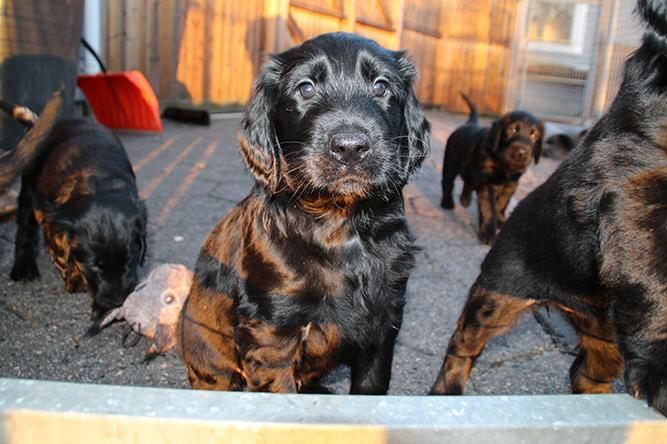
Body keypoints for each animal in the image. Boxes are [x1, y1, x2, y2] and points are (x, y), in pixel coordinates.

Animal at [10, 117, 147, 319]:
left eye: (128, 261)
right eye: (94, 267)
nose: (117, 302)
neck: (97, 181)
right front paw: (74, 280)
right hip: (28, 185)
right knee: (25, 226)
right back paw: (24, 266)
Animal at [178, 32, 430, 393]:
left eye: (381, 87)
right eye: (306, 88)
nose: (351, 147)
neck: (341, 223)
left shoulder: (385, 321)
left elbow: (371, 387)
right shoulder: (272, 332)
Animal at [440, 93, 543, 244]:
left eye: (534, 135)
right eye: (512, 130)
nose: (521, 152)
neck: (504, 163)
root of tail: (469, 124)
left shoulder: (511, 183)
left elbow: (502, 203)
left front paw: (500, 221)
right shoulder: (487, 181)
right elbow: (490, 207)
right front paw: (488, 233)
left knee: (468, 182)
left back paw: (465, 200)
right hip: (450, 163)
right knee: (448, 182)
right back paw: (447, 202)